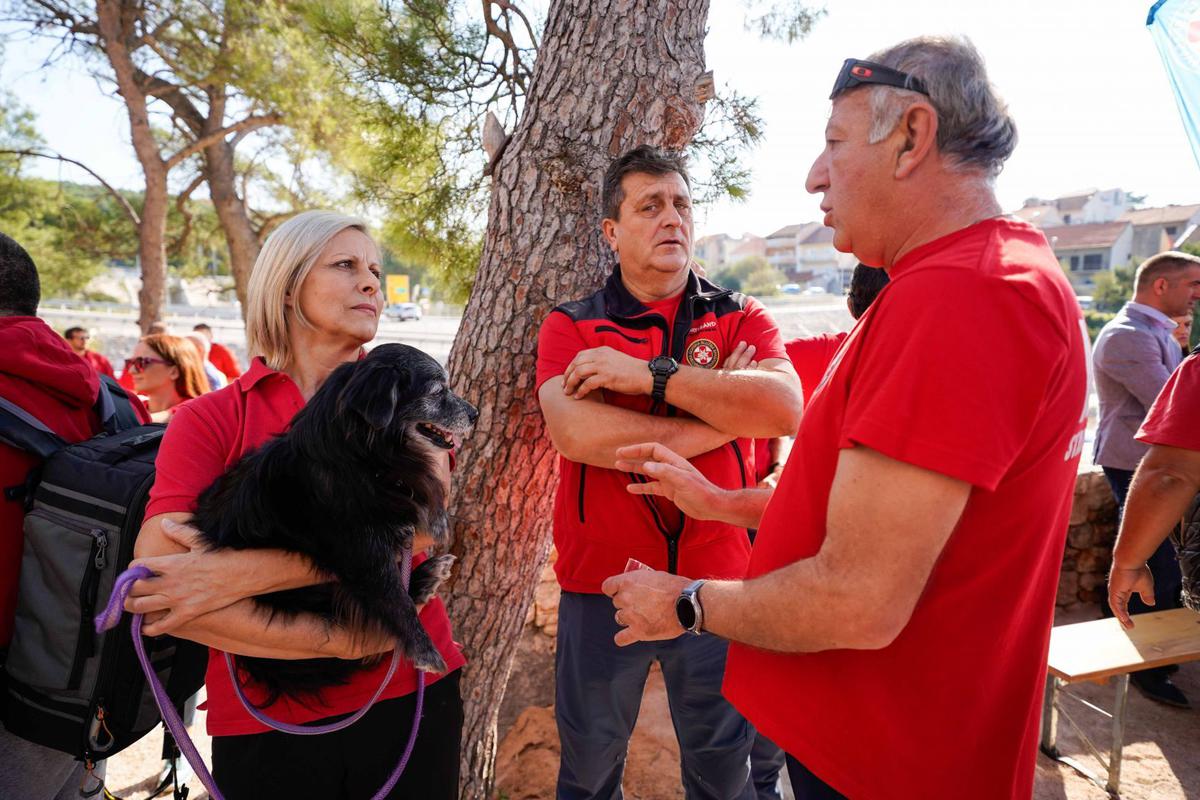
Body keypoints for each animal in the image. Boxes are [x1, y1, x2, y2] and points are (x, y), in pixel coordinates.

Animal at [189, 340, 475, 705]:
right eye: (439, 391)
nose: (475, 414)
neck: (362, 455)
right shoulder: (364, 553)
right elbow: (394, 600)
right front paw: (425, 650)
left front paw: (436, 521)